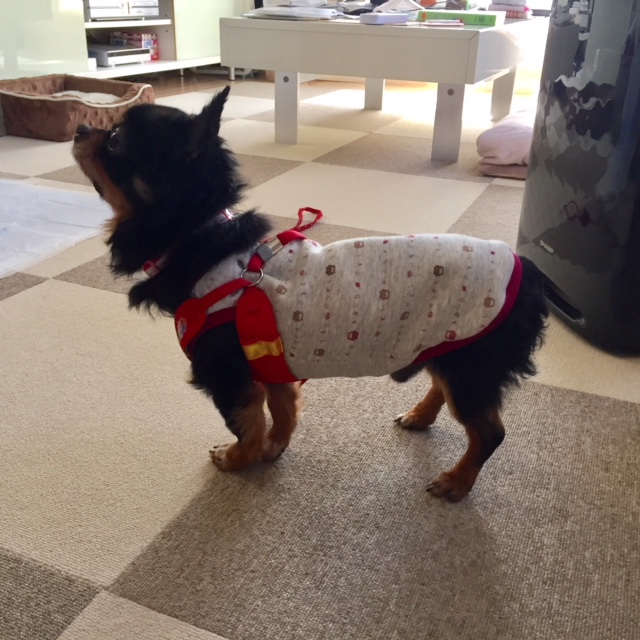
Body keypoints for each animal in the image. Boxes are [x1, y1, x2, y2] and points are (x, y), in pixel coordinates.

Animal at [73, 86, 548, 502]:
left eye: (114, 141)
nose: (79, 127)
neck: (202, 244)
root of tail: (529, 272)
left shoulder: (229, 377)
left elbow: (246, 423)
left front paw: (237, 458)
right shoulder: (270, 363)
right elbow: (282, 411)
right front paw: (273, 449)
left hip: (470, 366)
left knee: (489, 431)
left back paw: (456, 482)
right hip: (445, 346)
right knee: (443, 388)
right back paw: (420, 417)